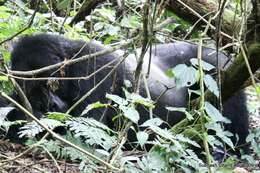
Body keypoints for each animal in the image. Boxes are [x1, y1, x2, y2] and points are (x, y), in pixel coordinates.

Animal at [7, 33, 248, 153]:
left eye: (51, 82)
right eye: (32, 89)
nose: (51, 106)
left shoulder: (96, 69)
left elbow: (86, 134)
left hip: (218, 65)